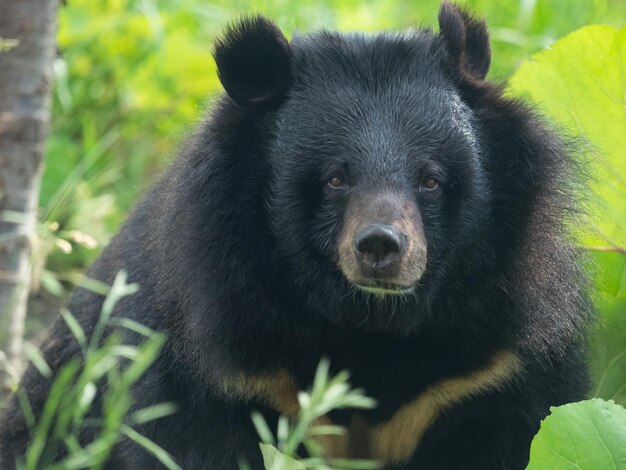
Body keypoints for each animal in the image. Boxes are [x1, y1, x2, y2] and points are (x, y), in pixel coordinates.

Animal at [0, 3, 588, 470]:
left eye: (430, 180)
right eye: (335, 178)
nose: (381, 246)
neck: (368, 322)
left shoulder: (490, 371)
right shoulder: (210, 351)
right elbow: (180, 435)